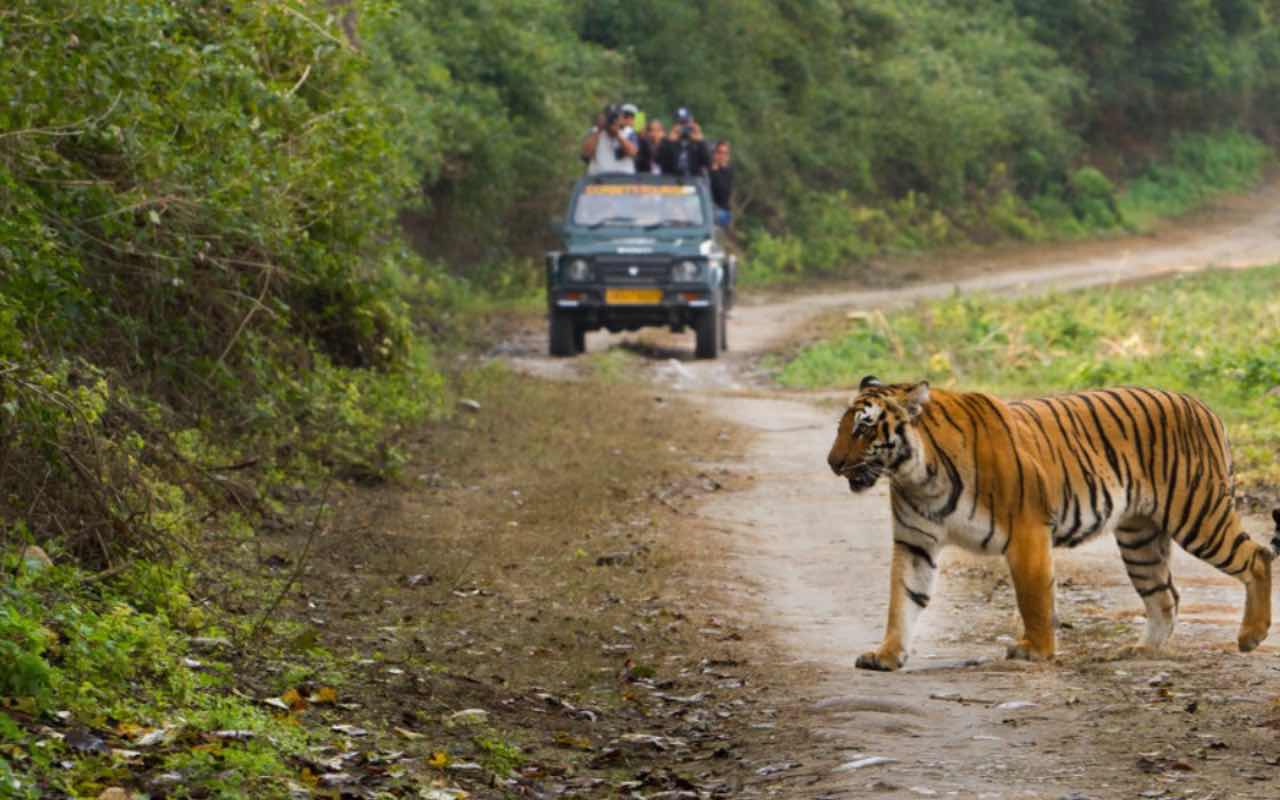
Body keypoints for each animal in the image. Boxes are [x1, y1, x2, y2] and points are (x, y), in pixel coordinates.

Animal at [824, 373, 1274, 665]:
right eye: (842, 427)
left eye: (864, 429)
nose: (832, 463)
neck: (917, 475)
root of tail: (1203, 405)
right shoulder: (915, 542)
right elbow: (903, 599)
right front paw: (886, 654)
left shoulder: (1026, 532)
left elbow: (1034, 598)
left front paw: (1036, 650)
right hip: (1140, 539)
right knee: (1165, 595)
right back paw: (1144, 650)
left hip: (1198, 515)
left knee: (1258, 556)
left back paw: (1251, 636)